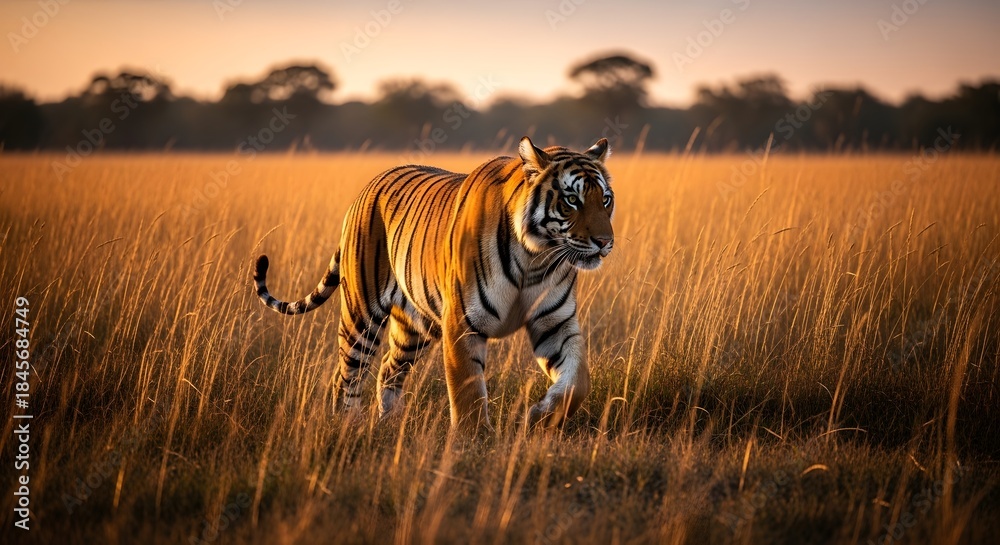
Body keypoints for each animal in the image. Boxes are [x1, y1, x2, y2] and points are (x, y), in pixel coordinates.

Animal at [252, 136, 615, 433]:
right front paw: (473, 443)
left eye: (606, 200)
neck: (536, 257)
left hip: (415, 326)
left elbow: (577, 382)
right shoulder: (463, 323)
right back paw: (348, 425)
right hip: (361, 315)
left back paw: (389, 424)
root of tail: (368, 187)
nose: (605, 242)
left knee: (388, 369)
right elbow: (468, 390)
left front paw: (539, 417)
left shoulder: (555, 323)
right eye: (571, 200)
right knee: (347, 374)